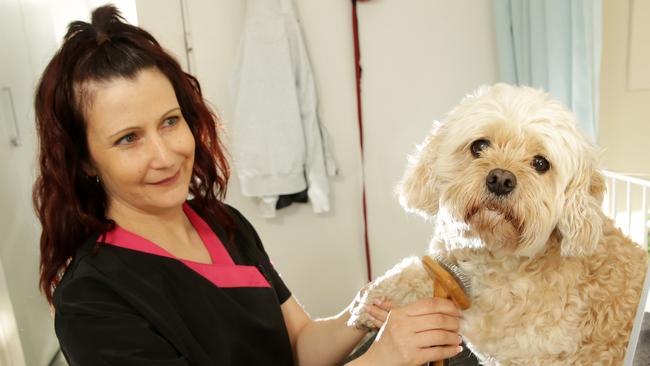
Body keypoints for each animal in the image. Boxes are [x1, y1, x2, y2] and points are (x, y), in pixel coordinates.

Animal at [352, 84, 644, 364]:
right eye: (479, 146)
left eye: (541, 163)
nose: (501, 179)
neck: (493, 256)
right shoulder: (448, 269)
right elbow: (413, 272)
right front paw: (367, 304)